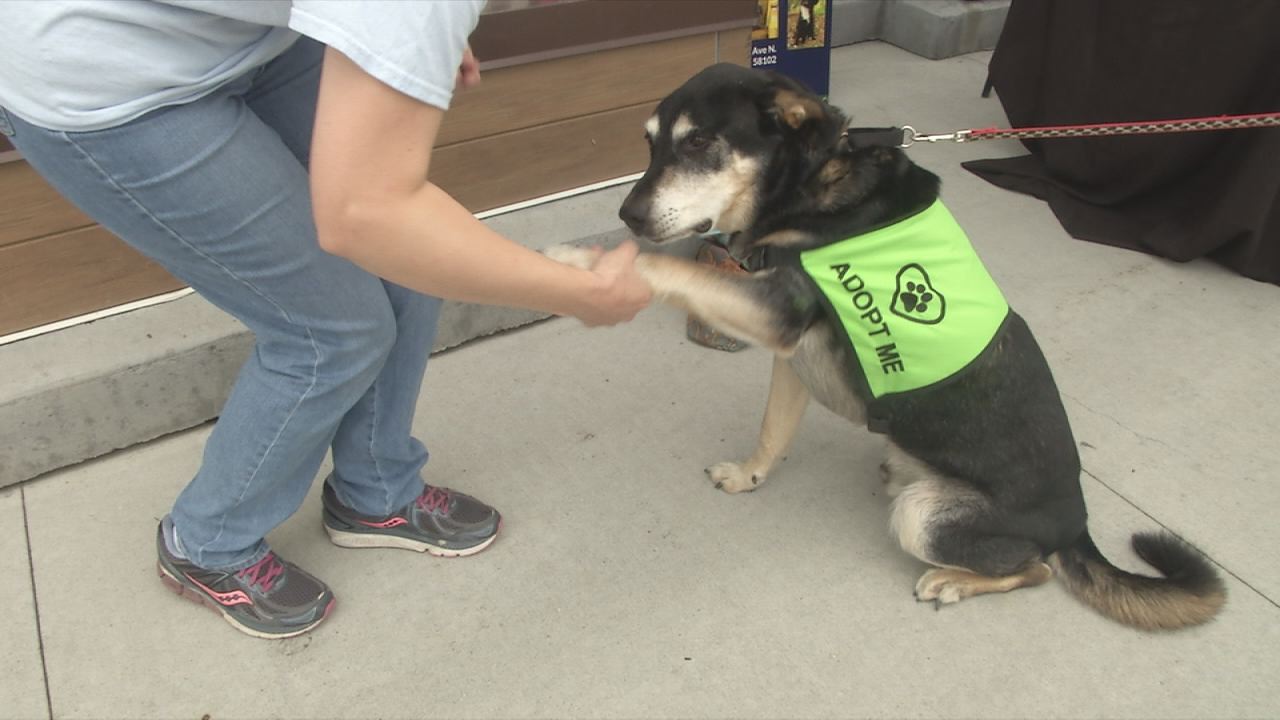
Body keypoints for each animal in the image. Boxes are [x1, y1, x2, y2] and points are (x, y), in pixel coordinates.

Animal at [545, 65, 1223, 627]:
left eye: (697, 142)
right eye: (650, 143)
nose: (628, 216)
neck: (811, 182)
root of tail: (1077, 522)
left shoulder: (774, 311)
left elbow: (669, 270)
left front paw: (582, 262)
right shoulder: (794, 352)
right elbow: (772, 430)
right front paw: (749, 475)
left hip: (925, 514)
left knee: (1034, 567)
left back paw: (953, 580)